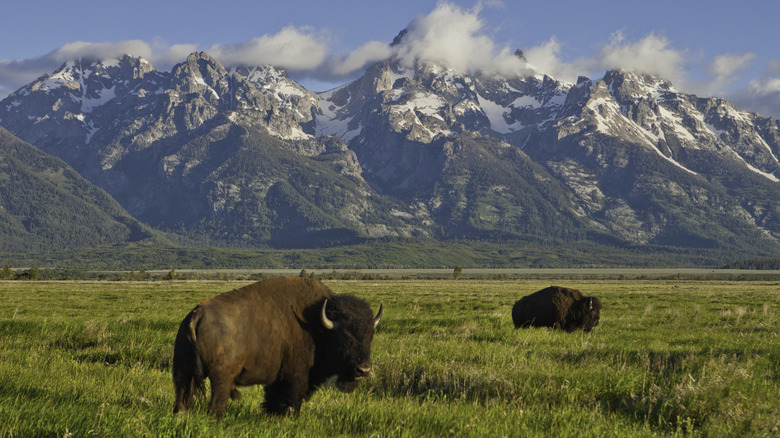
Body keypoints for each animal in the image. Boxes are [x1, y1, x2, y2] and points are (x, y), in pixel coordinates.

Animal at [175, 278, 386, 418]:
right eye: (345, 337)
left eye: (370, 336)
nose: (363, 369)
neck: (317, 324)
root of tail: (196, 314)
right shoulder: (297, 377)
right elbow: (294, 399)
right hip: (222, 377)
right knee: (216, 403)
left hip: (183, 373)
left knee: (182, 398)